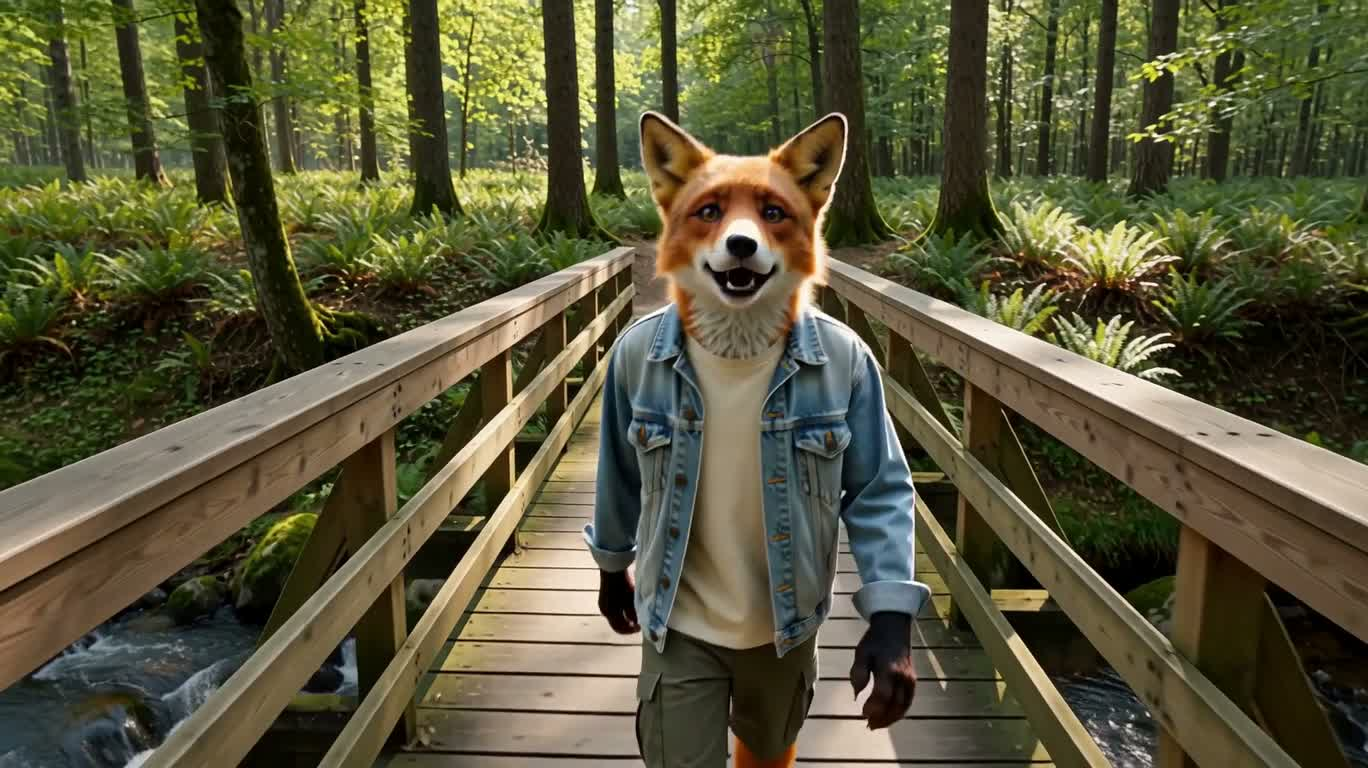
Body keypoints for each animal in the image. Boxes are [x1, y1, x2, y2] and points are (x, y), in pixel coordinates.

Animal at [587, 112, 925, 768]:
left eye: (772, 213)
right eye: (710, 211)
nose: (741, 245)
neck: (738, 352)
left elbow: (878, 490)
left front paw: (888, 646)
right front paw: (616, 583)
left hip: (778, 684)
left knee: (766, 730)